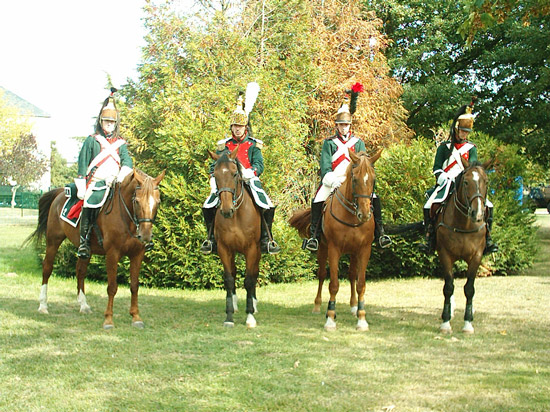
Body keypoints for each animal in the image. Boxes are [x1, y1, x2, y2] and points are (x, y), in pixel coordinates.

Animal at [29, 169, 166, 330]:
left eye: (158, 202)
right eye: (137, 201)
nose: (145, 235)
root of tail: (60, 192)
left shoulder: (137, 254)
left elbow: (134, 286)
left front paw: (136, 317)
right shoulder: (112, 254)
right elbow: (112, 287)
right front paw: (108, 320)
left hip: (85, 250)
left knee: (80, 271)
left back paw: (83, 305)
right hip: (53, 241)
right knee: (47, 268)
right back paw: (43, 305)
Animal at [210, 148, 264, 328]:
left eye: (234, 174)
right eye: (215, 175)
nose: (227, 210)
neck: (235, 217)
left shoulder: (252, 249)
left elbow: (249, 280)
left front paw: (250, 316)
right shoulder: (224, 249)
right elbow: (229, 279)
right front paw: (229, 316)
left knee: (254, 274)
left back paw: (254, 304)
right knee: (233, 274)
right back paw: (234, 304)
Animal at [288, 150, 384, 330]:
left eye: (373, 179)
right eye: (354, 179)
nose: (364, 214)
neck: (352, 216)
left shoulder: (364, 250)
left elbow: (361, 284)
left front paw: (361, 318)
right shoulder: (334, 249)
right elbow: (333, 284)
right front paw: (331, 318)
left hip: (353, 253)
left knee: (352, 275)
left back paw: (353, 307)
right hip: (322, 249)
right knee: (321, 275)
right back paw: (317, 306)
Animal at [434, 159, 494, 334]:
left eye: (486, 181)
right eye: (466, 182)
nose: (478, 213)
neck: (464, 224)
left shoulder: (476, 256)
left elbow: (469, 288)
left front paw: (468, 322)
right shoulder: (445, 254)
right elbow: (448, 286)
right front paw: (446, 322)